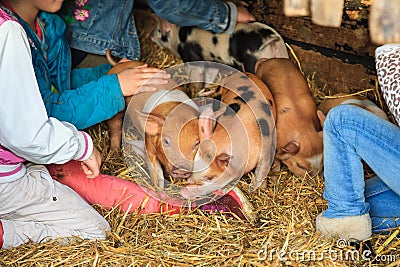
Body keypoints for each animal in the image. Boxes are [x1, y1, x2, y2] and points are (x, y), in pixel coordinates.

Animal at [151, 18, 288, 73]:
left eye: (159, 30)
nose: (151, 35)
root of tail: (268, 38)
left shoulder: (190, 56)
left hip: (251, 63)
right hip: (282, 54)